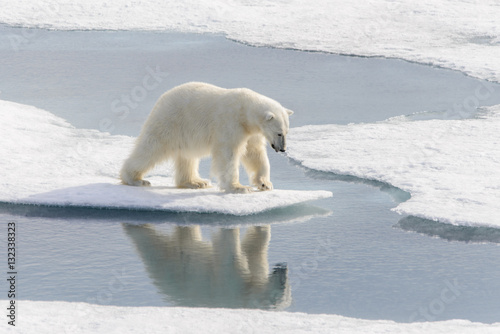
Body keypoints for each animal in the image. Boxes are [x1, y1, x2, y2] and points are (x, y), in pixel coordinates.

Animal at [119, 81, 292, 193]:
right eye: (279, 133)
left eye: (286, 132)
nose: (283, 149)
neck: (244, 111)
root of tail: (162, 99)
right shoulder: (229, 123)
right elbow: (228, 154)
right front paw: (239, 187)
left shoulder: (251, 132)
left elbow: (254, 153)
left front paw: (265, 184)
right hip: (171, 121)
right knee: (152, 148)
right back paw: (136, 179)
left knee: (187, 157)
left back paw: (196, 182)